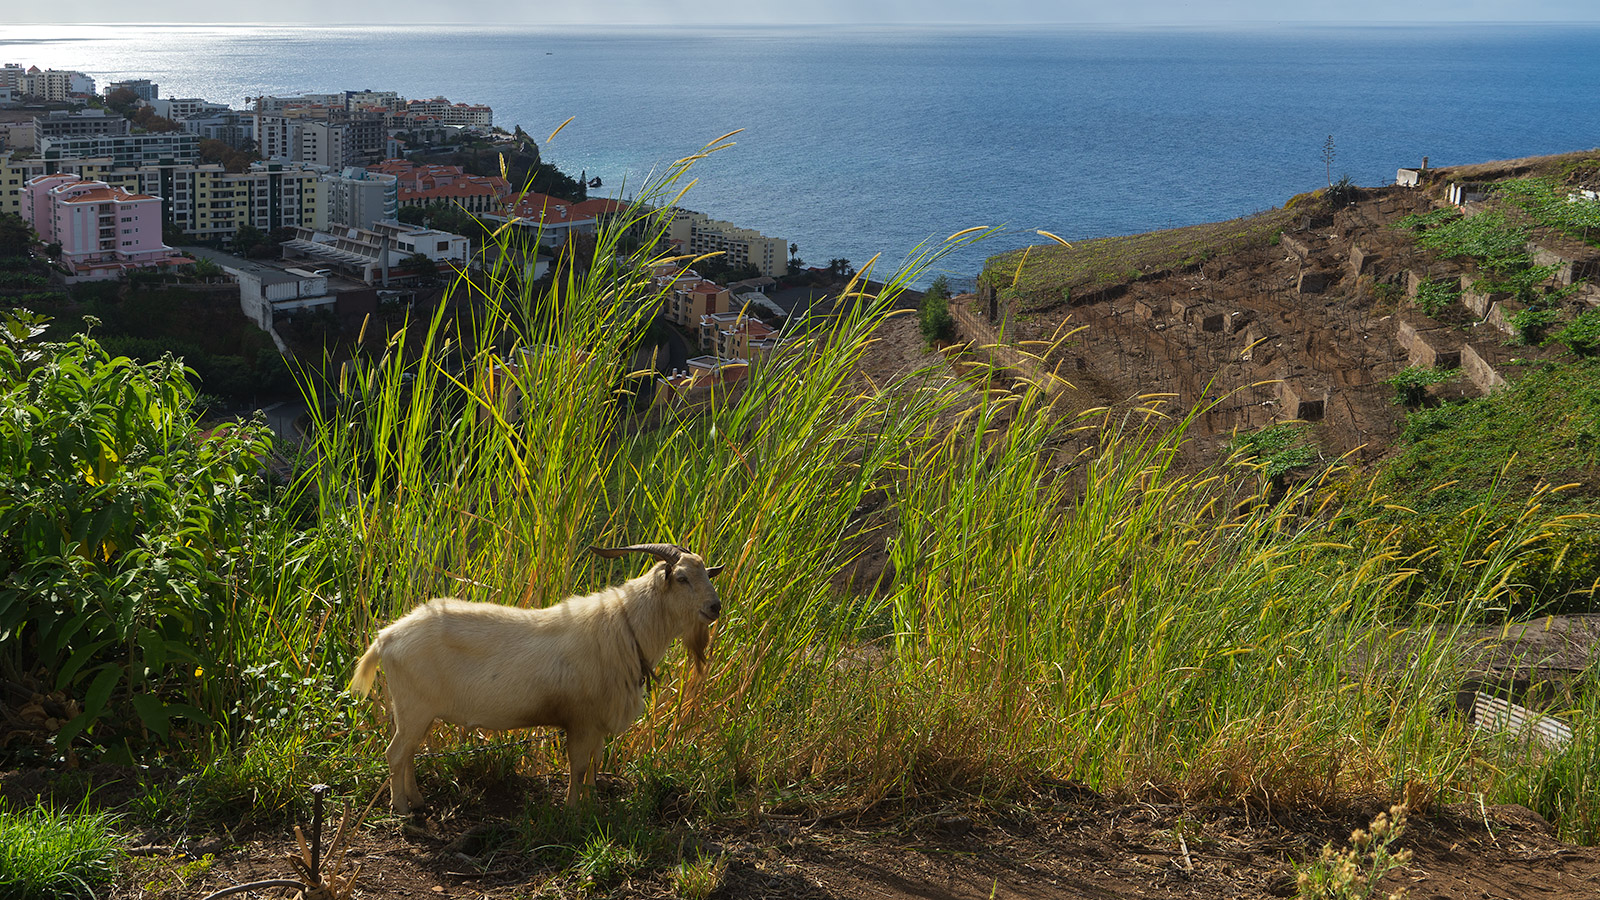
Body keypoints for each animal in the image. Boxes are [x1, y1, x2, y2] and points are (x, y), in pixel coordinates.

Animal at [353, 544, 729, 810]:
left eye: (707, 575)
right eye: (682, 578)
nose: (715, 607)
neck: (625, 626)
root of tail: (386, 638)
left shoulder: (597, 721)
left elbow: (595, 764)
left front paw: (592, 806)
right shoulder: (582, 720)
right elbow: (579, 766)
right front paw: (573, 811)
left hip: (419, 711)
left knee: (408, 754)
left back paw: (417, 801)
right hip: (413, 707)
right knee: (395, 754)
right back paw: (402, 809)